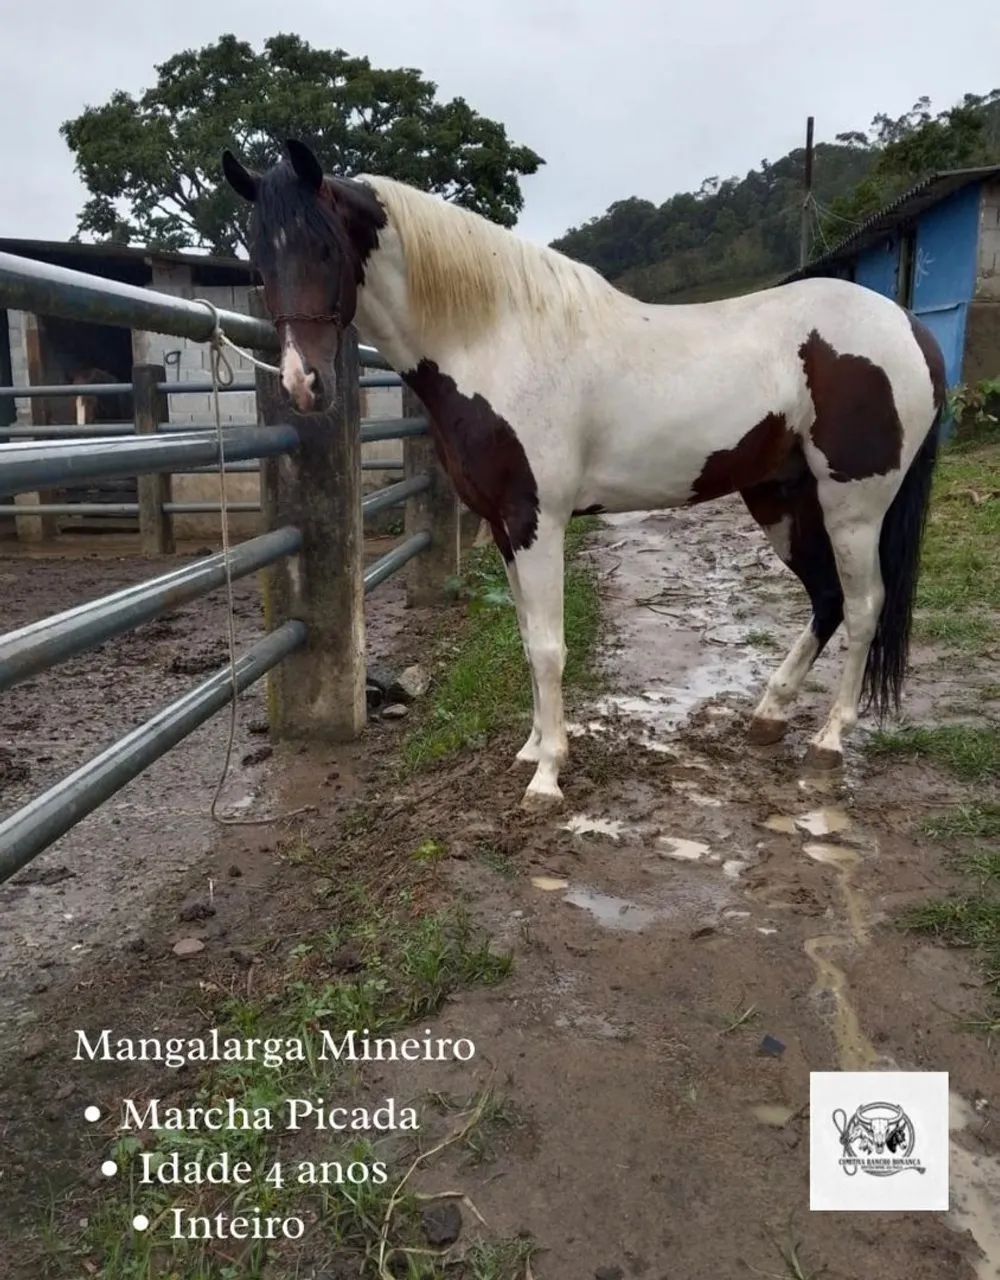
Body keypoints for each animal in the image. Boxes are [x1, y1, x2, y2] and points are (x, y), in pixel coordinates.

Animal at [222, 140, 945, 810]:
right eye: (259, 260)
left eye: (325, 250)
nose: (303, 383)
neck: (496, 341)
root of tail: (907, 326)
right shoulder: (504, 527)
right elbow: (525, 639)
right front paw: (533, 748)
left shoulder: (536, 522)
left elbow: (547, 647)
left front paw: (548, 777)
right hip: (781, 497)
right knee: (826, 600)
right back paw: (769, 717)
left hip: (854, 507)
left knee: (863, 607)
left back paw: (828, 742)